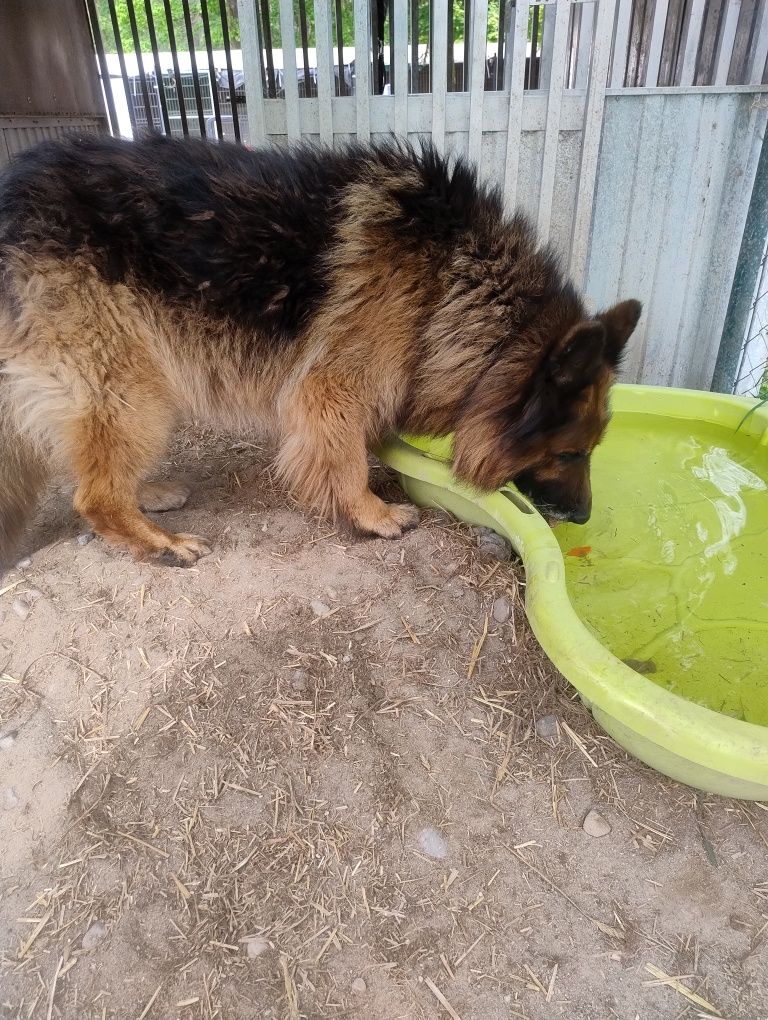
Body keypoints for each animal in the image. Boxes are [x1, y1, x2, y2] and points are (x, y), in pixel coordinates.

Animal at [0, 134, 636, 567]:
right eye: (571, 454)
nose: (584, 516)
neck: (452, 282)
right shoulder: (331, 388)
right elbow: (346, 457)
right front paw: (373, 515)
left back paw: (150, 493)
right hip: (128, 389)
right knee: (94, 495)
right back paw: (160, 544)